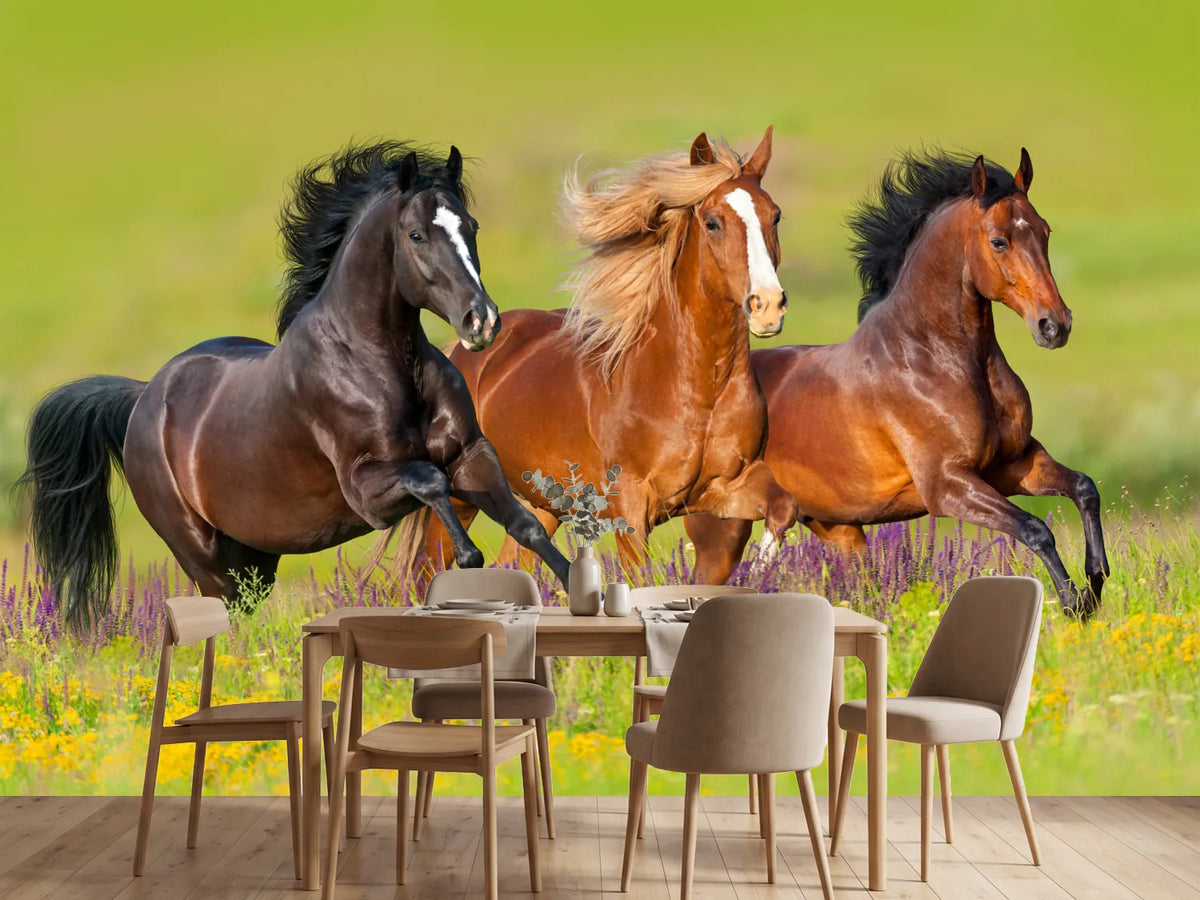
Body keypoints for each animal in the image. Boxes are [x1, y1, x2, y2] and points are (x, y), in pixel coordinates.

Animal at [18, 140, 570, 627]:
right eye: (416, 234)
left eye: (470, 226)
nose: (482, 322)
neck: (382, 364)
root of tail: (142, 398)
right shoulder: (366, 491)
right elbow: (430, 480)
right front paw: (469, 558)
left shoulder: (471, 454)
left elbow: (525, 526)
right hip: (203, 555)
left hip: (255, 554)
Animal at [406, 129, 799, 580]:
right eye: (713, 222)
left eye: (775, 216)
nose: (768, 306)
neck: (698, 389)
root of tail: (461, 353)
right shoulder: (630, 511)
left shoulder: (726, 488)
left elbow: (783, 507)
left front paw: (759, 574)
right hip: (461, 494)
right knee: (425, 570)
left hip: (539, 505)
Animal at [684, 149, 1109, 617]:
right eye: (999, 241)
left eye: (1045, 231)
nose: (1055, 325)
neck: (934, 359)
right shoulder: (948, 486)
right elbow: (1035, 529)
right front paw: (1075, 604)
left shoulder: (1013, 464)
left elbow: (1084, 488)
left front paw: (1096, 580)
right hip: (722, 532)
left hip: (840, 530)